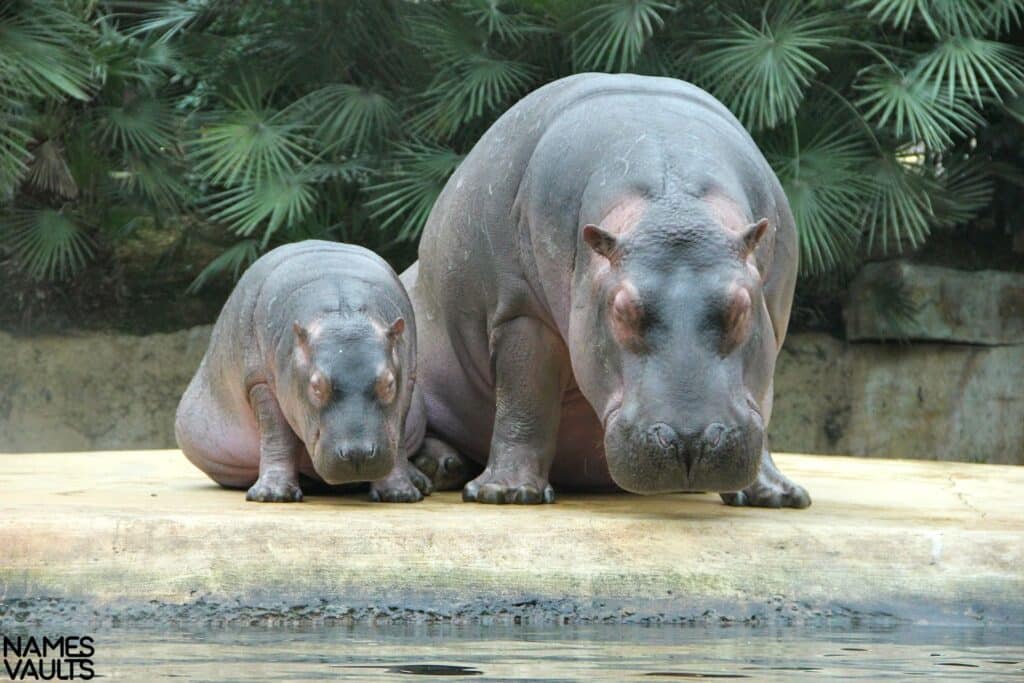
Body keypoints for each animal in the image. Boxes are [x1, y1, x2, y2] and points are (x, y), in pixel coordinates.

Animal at [174, 240, 430, 501]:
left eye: (389, 384)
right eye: (316, 386)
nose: (357, 454)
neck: (343, 312)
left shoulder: (408, 381)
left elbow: (397, 436)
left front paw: (400, 493)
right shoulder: (260, 384)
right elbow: (278, 437)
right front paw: (271, 494)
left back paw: (421, 480)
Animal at [403, 73, 811, 507]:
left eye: (741, 308)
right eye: (622, 310)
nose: (691, 441)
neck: (673, 203)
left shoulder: (775, 316)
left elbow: (762, 402)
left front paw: (777, 496)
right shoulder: (520, 311)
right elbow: (525, 398)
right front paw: (506, 492)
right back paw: (439, 465)